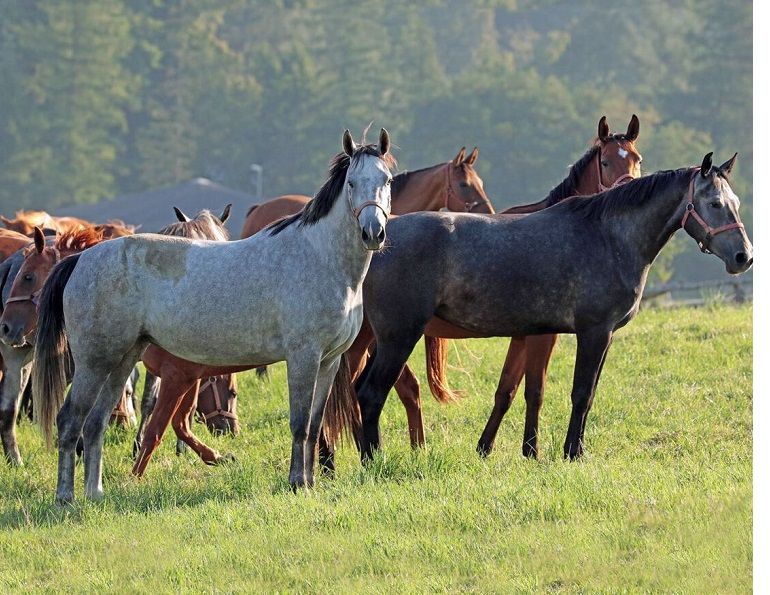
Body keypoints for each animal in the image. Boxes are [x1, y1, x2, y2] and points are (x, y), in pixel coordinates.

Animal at [33, 128, 395, 502]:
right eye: (351, 183)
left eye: (387, 180)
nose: (373, 233)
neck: (319, 257)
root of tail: (81, 260)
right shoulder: (303, 357)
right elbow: (299, 423)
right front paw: (297, 482)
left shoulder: (329, 360)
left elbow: (314, 423)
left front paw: (308, 482)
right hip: (94, 362)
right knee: (70, 420)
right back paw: (65, 498)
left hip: (122, 359)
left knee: (95, 422)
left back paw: (95, 493)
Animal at [343, 152, 751, 462]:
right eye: (715, 204)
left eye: (735, 203)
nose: (743, 257)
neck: (607, 236)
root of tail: (375, 239)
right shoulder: (593, 332)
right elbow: (580, 393)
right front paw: (572, 453)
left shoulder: (593, 337)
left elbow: (572, 393)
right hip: (398, 338)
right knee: (371, 394)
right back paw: (373, 462)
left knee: (359, 391)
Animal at [345, 115, 643, 452]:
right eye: (606, 162)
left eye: (637, 159)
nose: (629, 188)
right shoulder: (543, 337)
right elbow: (534, 391)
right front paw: (530, 450)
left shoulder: (524, 337)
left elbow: (507, 390)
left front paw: (487, 448)